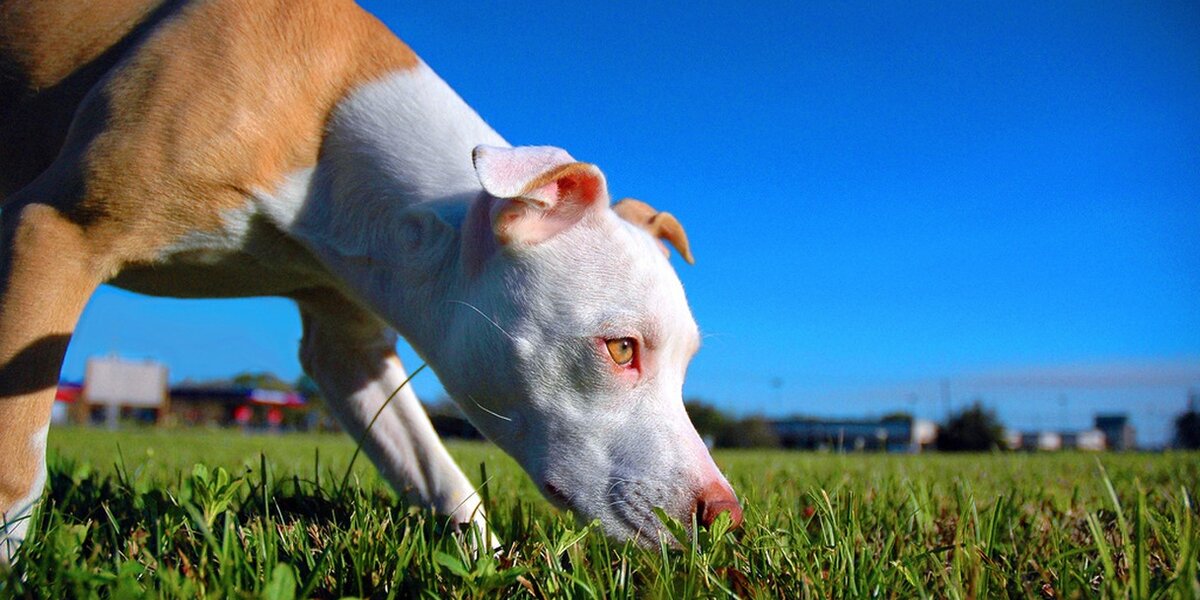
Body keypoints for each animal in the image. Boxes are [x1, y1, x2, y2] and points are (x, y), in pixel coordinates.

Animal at [0, 1, 739, 561]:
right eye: (620, 348)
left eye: (686, 365)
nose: (725, 515)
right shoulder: (54, 232)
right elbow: (16, 462)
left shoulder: (346, 343)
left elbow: (438, 473)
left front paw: (490, 564)